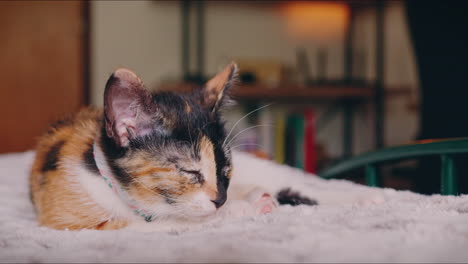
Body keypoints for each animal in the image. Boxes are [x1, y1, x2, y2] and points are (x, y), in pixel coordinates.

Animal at [30, 64, 314, 231]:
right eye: (190, 172)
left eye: (226, 171)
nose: (221, 200)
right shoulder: (76, 224)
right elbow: (171, 222)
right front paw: (238, 209)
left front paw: (252, 198)